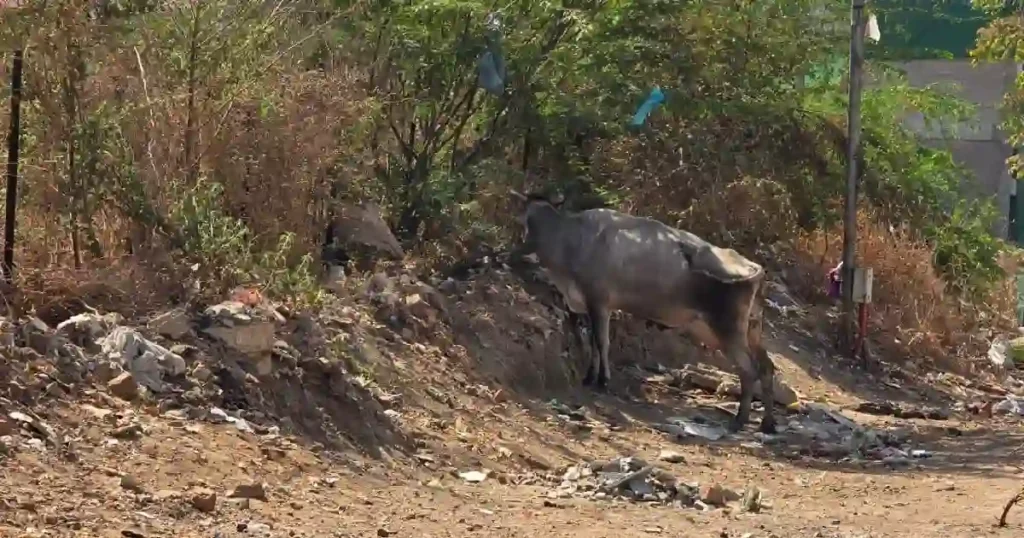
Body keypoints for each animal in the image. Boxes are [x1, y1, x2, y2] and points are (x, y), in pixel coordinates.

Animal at [510, 190, 777, 433]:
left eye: (524, 217)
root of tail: (754, 267)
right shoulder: (589, 304)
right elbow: (593, 343)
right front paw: (590, 377)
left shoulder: (599, 300)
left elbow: (601, 342)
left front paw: (602, 381)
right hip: (743, 328)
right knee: (767, 367)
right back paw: (768, 424)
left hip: (728, 328)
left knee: (749, 370)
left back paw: (740, 420)